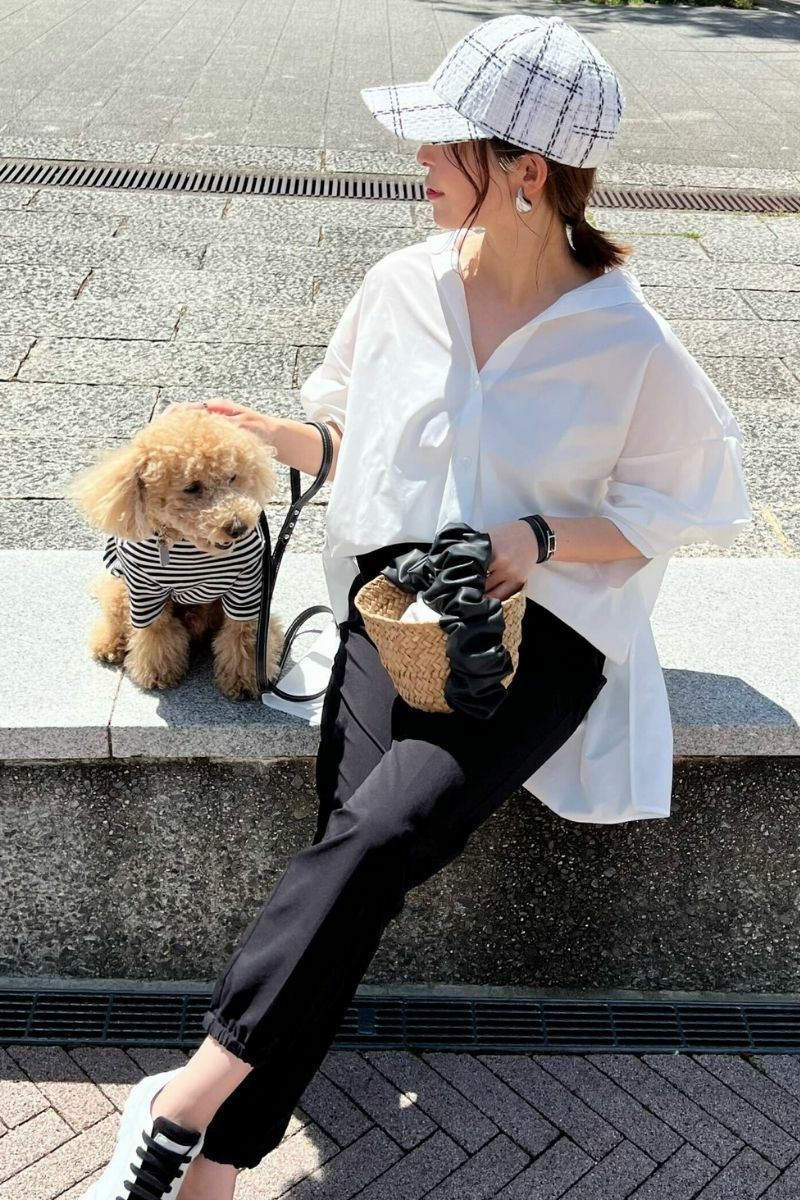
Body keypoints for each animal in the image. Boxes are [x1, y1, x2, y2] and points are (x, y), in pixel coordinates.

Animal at [65, 403, 285, 700]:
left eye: (233, 477)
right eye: (191, 487)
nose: (238, 527)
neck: (188, 547)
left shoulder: (247, 587)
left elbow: (244, 634)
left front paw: (245, 679)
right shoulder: (145, 591)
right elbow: (156, 633)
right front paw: (159, 674)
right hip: (119, 590)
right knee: (116, 618)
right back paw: (109, 644)